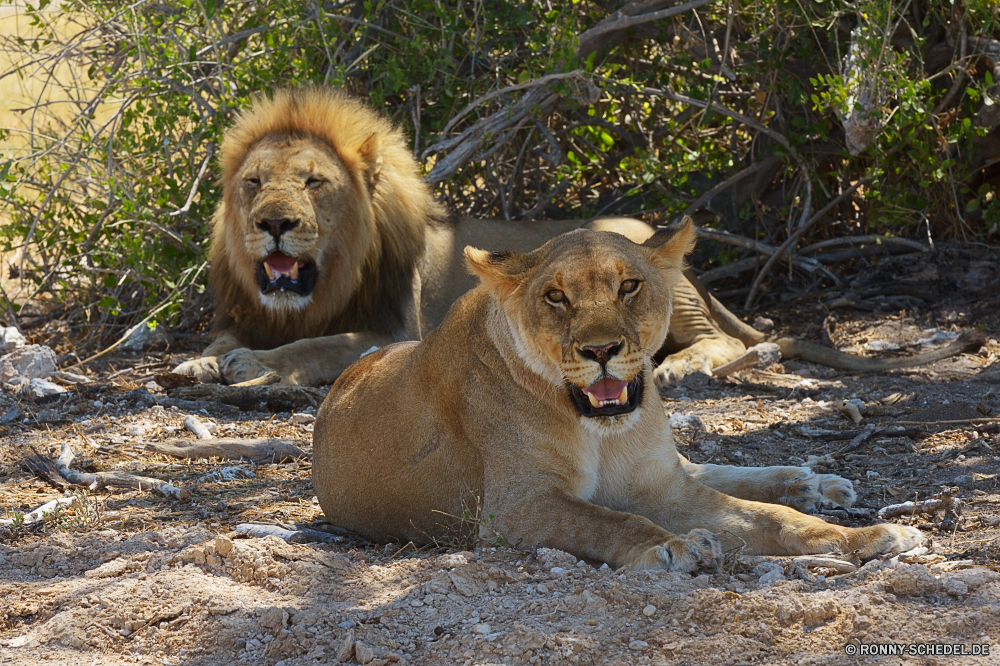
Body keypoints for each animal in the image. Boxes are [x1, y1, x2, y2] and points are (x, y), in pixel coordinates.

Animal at [178, 89, 984, 390]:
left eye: (314, 183)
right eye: (255, 183)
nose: (273, 224)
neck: (320, 288)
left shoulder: (390, 331)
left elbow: (322, 347)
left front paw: (256, 365)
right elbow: (223, 339)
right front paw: (203, 362)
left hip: (659, 283)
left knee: (731, 341)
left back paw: (682, 367)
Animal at [312, 223, 920, 564]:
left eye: (629, 285)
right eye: (556, 297)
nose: (601, 349)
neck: (600, 431)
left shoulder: (658, 487)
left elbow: (769, 520)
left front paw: (867, 536)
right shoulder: (514, 510)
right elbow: (605, 520)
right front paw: (669, 546)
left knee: (709, 469)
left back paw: (815, 483)